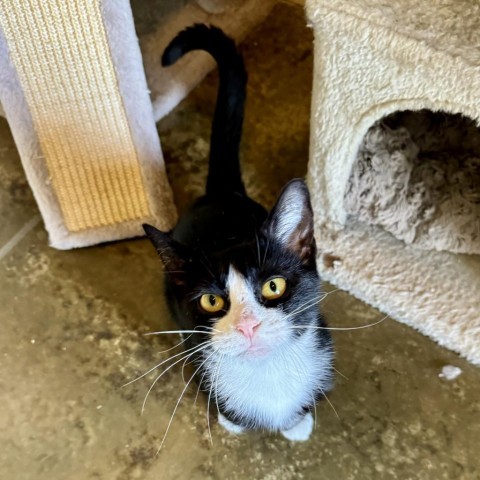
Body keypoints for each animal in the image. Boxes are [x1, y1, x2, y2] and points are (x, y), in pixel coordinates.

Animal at [142, 24, 334, 440]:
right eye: (211, 301)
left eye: (273, 286)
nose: (248, 326)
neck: (268, 378)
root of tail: (221, 193)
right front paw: (233, 419)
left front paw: (298, 422)